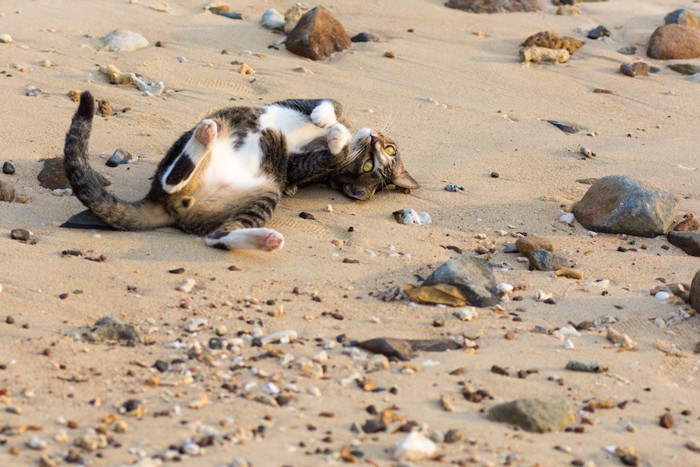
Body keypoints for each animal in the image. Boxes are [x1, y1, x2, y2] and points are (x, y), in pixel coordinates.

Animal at [63, 91, 418, 252]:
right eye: (387, 151)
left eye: (372, 165)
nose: (373, 139)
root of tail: (165, 206)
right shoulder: (304, 104)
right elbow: (332, 104)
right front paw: (326, 120)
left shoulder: (296, 168)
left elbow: (333, 150)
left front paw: (337, 137)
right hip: (226, 120)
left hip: (264, 193)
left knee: (212, 233)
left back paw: (265, 239)